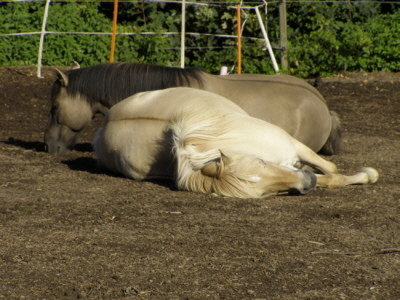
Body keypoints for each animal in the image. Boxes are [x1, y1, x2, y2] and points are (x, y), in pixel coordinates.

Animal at [93, 87, 378, 199]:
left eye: (263, 162)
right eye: (263, 193)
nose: (307, 182)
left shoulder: (294, 145)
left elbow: (330, 169)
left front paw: (369, 173)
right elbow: (332, 177)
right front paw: (365, 175)